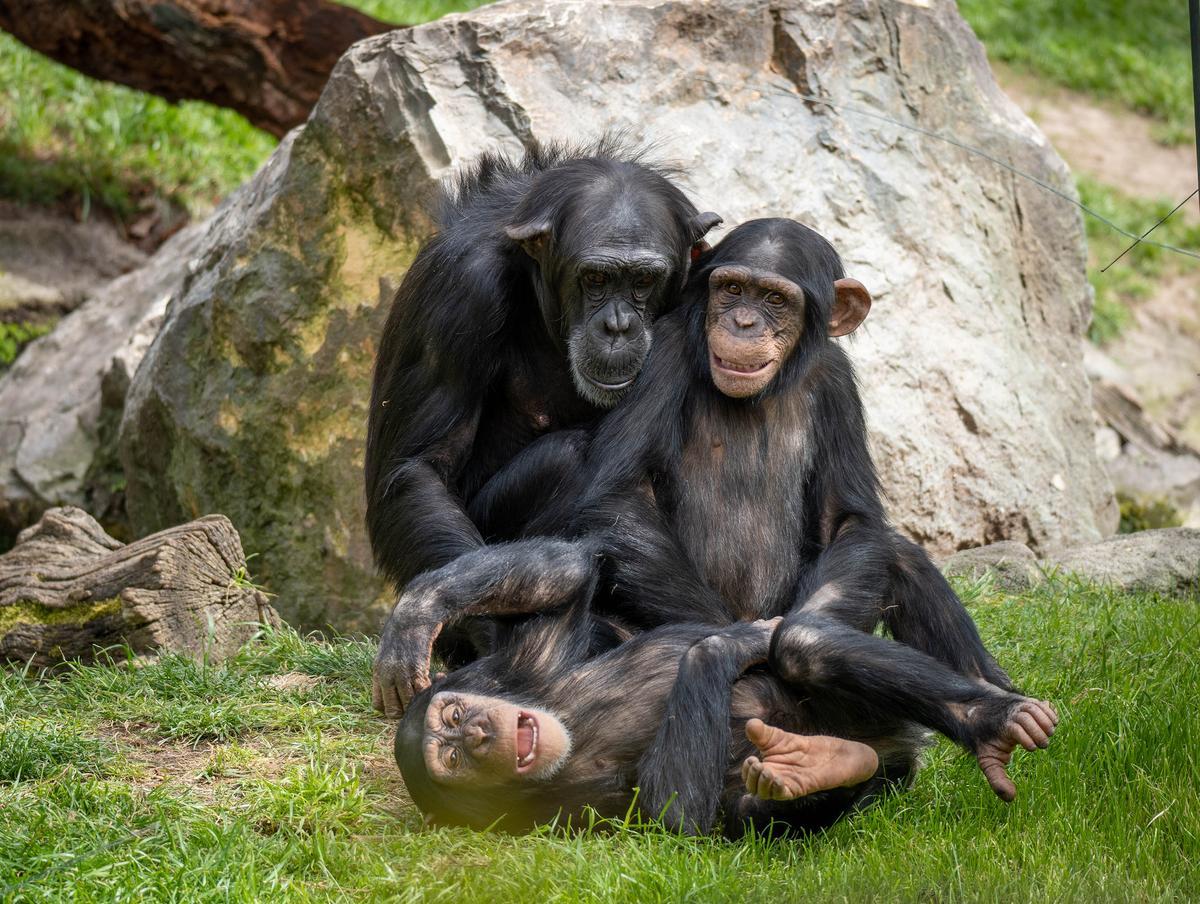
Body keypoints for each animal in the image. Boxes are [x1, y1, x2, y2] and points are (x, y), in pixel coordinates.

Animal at [364, 137, 720, 681]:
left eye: (643, 280)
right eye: (596, 278)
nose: (618, 325)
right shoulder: (460, 290)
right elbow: (418, 468)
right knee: (566, 459)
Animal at [388, 542, 1056, 830]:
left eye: (453, 717)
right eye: (450, 757)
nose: (477, 732)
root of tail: (899, 741)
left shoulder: (516, 672)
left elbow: (571, 575)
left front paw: (420, 611)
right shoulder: (557, 817)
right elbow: (676, 811)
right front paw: (728, 644)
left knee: (874, 570)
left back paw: (998, 708)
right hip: (878, 753)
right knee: (803, 649)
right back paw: (829, 763)